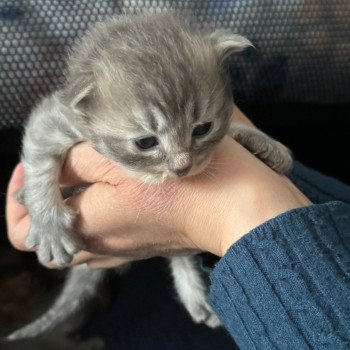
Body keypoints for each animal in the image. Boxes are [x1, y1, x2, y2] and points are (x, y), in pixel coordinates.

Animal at [7, 13, 292, 342]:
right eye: (145, 142)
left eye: (202, 129)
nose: (181, 167)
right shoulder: (56, 117)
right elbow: (39, 162)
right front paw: (48, 225)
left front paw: (264, 142)